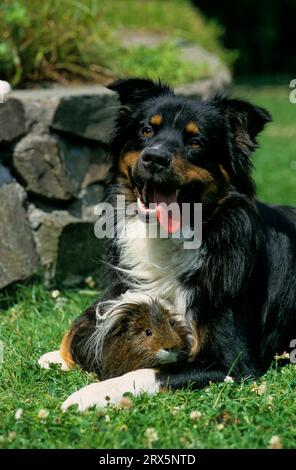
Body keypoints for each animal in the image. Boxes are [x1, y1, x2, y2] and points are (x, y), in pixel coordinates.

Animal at [38, 78, 296, 412]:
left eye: (196, 141)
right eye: (147, 130)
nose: (154, 158)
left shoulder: (233, 362)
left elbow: (150, 370)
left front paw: (89, 394)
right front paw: (58, 357)